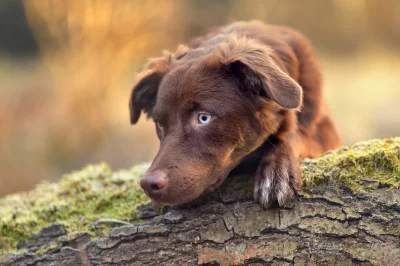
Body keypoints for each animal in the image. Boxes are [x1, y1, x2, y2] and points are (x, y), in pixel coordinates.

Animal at [129, 20, 340, 208]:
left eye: (203, 118)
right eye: (160, 123)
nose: (148, 184)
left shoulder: (325, 134)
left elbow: (290, 132)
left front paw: (276, 173)